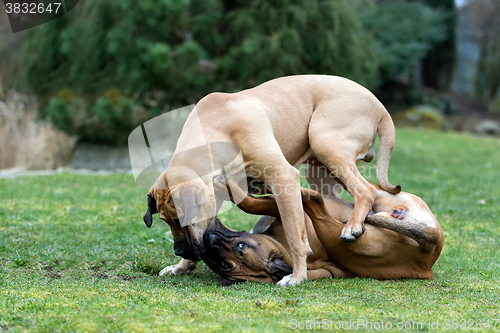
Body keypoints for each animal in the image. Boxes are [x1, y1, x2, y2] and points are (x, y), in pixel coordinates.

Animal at [144, 74, 398, 286]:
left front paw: (297, 277)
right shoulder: (215, 195)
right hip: (320, 170)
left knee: (365, 190)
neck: (219, 129)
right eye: (166, 221)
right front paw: (181, 267)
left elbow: (295, 238)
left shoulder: (284, 179)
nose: (179, 251)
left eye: (182, 219)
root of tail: (379, 105)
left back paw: (353, 227)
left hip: (326, 144)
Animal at [201, 178, 444, 284]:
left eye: (240, 245)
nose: (207, 239)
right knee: (319, 201)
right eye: (223, 264)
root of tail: (429, 253)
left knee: (322, 198)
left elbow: (255, 204)